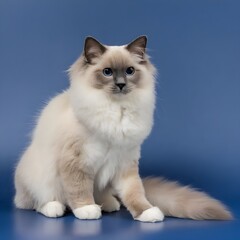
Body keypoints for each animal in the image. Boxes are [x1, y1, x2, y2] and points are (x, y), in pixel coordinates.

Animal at [13, 36, 232, 222]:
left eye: (129, 71)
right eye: (107, 72)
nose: (120, 85)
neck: (117, 110)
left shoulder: (125, 161)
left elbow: (135, 193)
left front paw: (147, 213)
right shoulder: (76, 161)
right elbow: (79, 189)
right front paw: (86, 210)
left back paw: (108, 204)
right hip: (39, 176)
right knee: (36, 202)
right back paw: (56, 207)